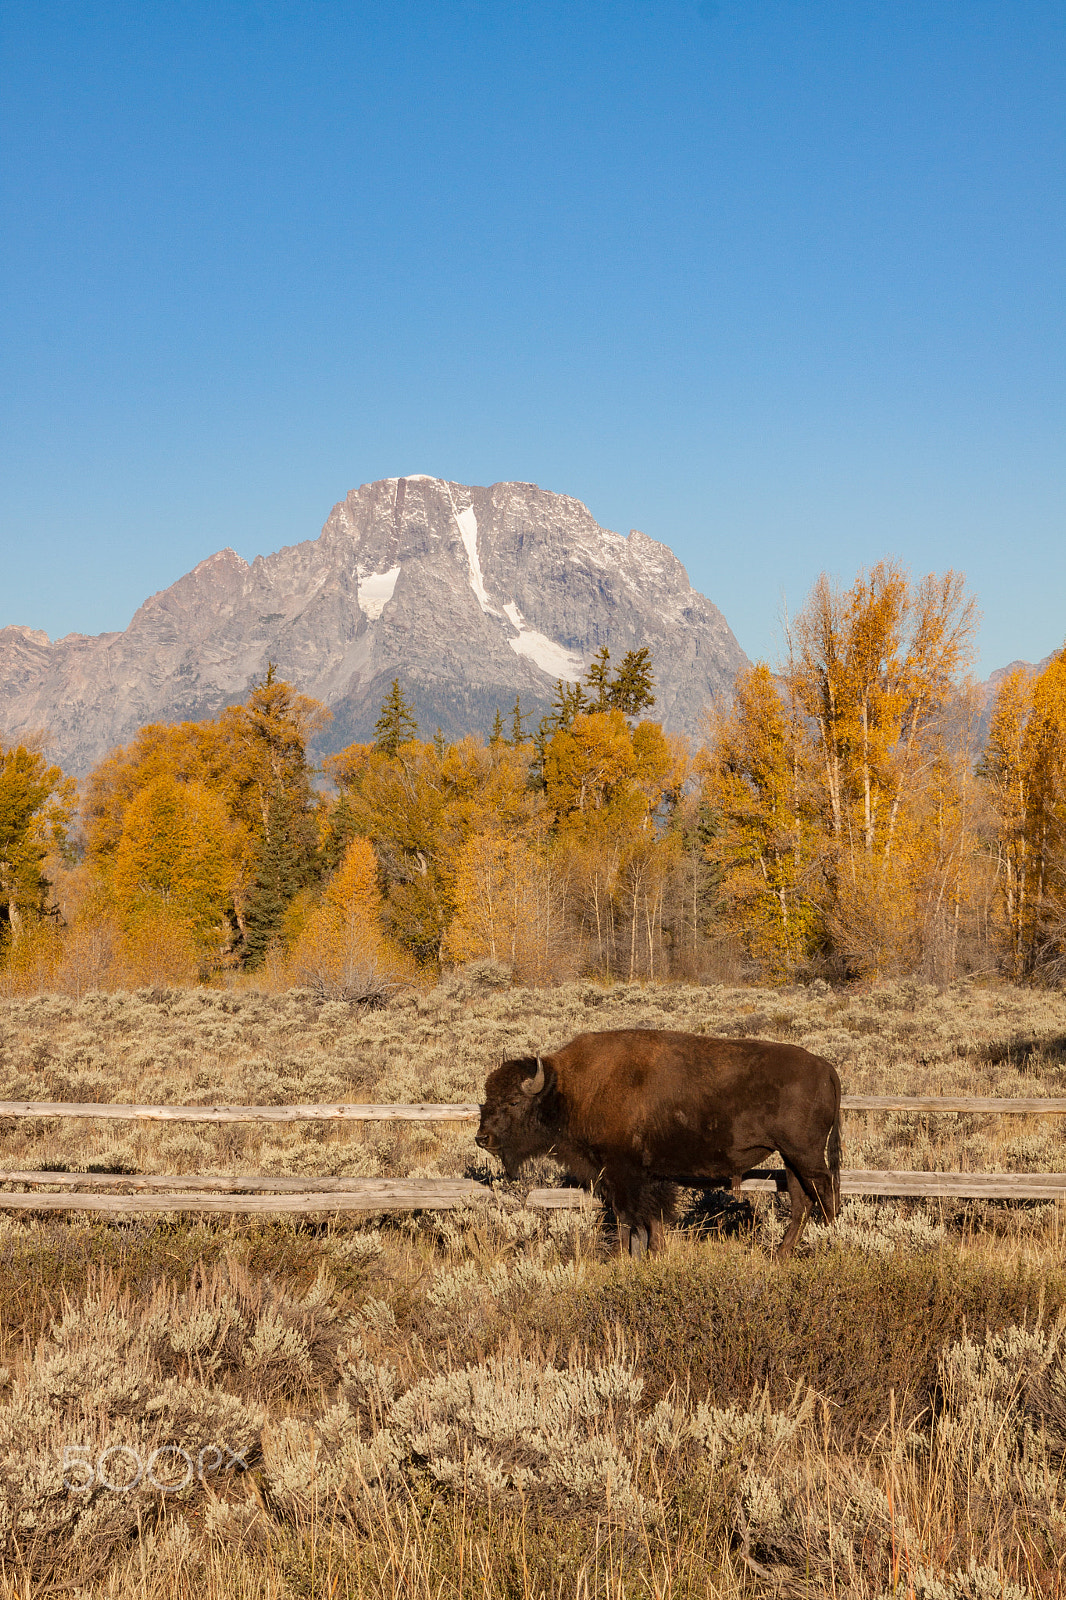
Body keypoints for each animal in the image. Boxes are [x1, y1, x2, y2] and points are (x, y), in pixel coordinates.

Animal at [473, 1024, 838, 1260]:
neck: (567, 1090)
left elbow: (627, 1217)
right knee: (802, 1201)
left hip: (804, 1154)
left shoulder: (621, 1173)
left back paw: (831, 1240)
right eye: (487, 1097)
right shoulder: (643, 1176)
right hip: (791, 1158)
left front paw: (622, 1257)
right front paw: (652, 1253)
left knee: (824, 1192)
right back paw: (781, 1255)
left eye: (514, 1102)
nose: (482, 1137)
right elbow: (649, 1219)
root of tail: (826, 1067)